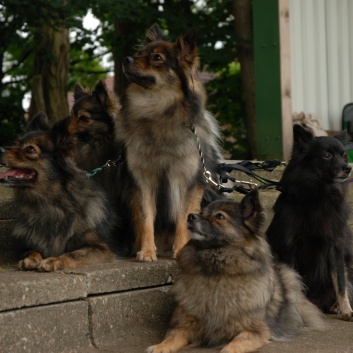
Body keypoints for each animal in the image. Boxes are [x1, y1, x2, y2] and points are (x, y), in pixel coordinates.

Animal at [0, 111, 117, 270]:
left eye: (30, 149)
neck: (49, 202)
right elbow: (34, 250)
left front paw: (54, 260)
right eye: (15, 144)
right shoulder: (30, 245)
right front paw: (31, 259)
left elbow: (74, 253)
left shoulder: (102, 249)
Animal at [115, 23, 220, 260]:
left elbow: (183, 217)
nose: (126, 59)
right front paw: (146, 252)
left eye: (157, 58)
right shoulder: (143, 180)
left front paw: (180, 249)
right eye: (140, 53)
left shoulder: (186, 180)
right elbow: (146, 218)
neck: (157, 111)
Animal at [146, 190, 324, 352]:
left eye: (220, 217)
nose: (190, 216)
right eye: (202, 213)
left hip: (290, 277)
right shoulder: (184, 325)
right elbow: (171, 339)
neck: (217, 272)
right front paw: (159, 347)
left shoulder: (255, 331)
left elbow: (236, 342)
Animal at [266, 122, 352, 320]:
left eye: (344, 156)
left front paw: (346, 309)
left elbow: (341, 282)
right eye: (327, 155)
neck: (319, 195)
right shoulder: (290, 247)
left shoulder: (335, 247)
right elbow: (293, 280)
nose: (347, 168)